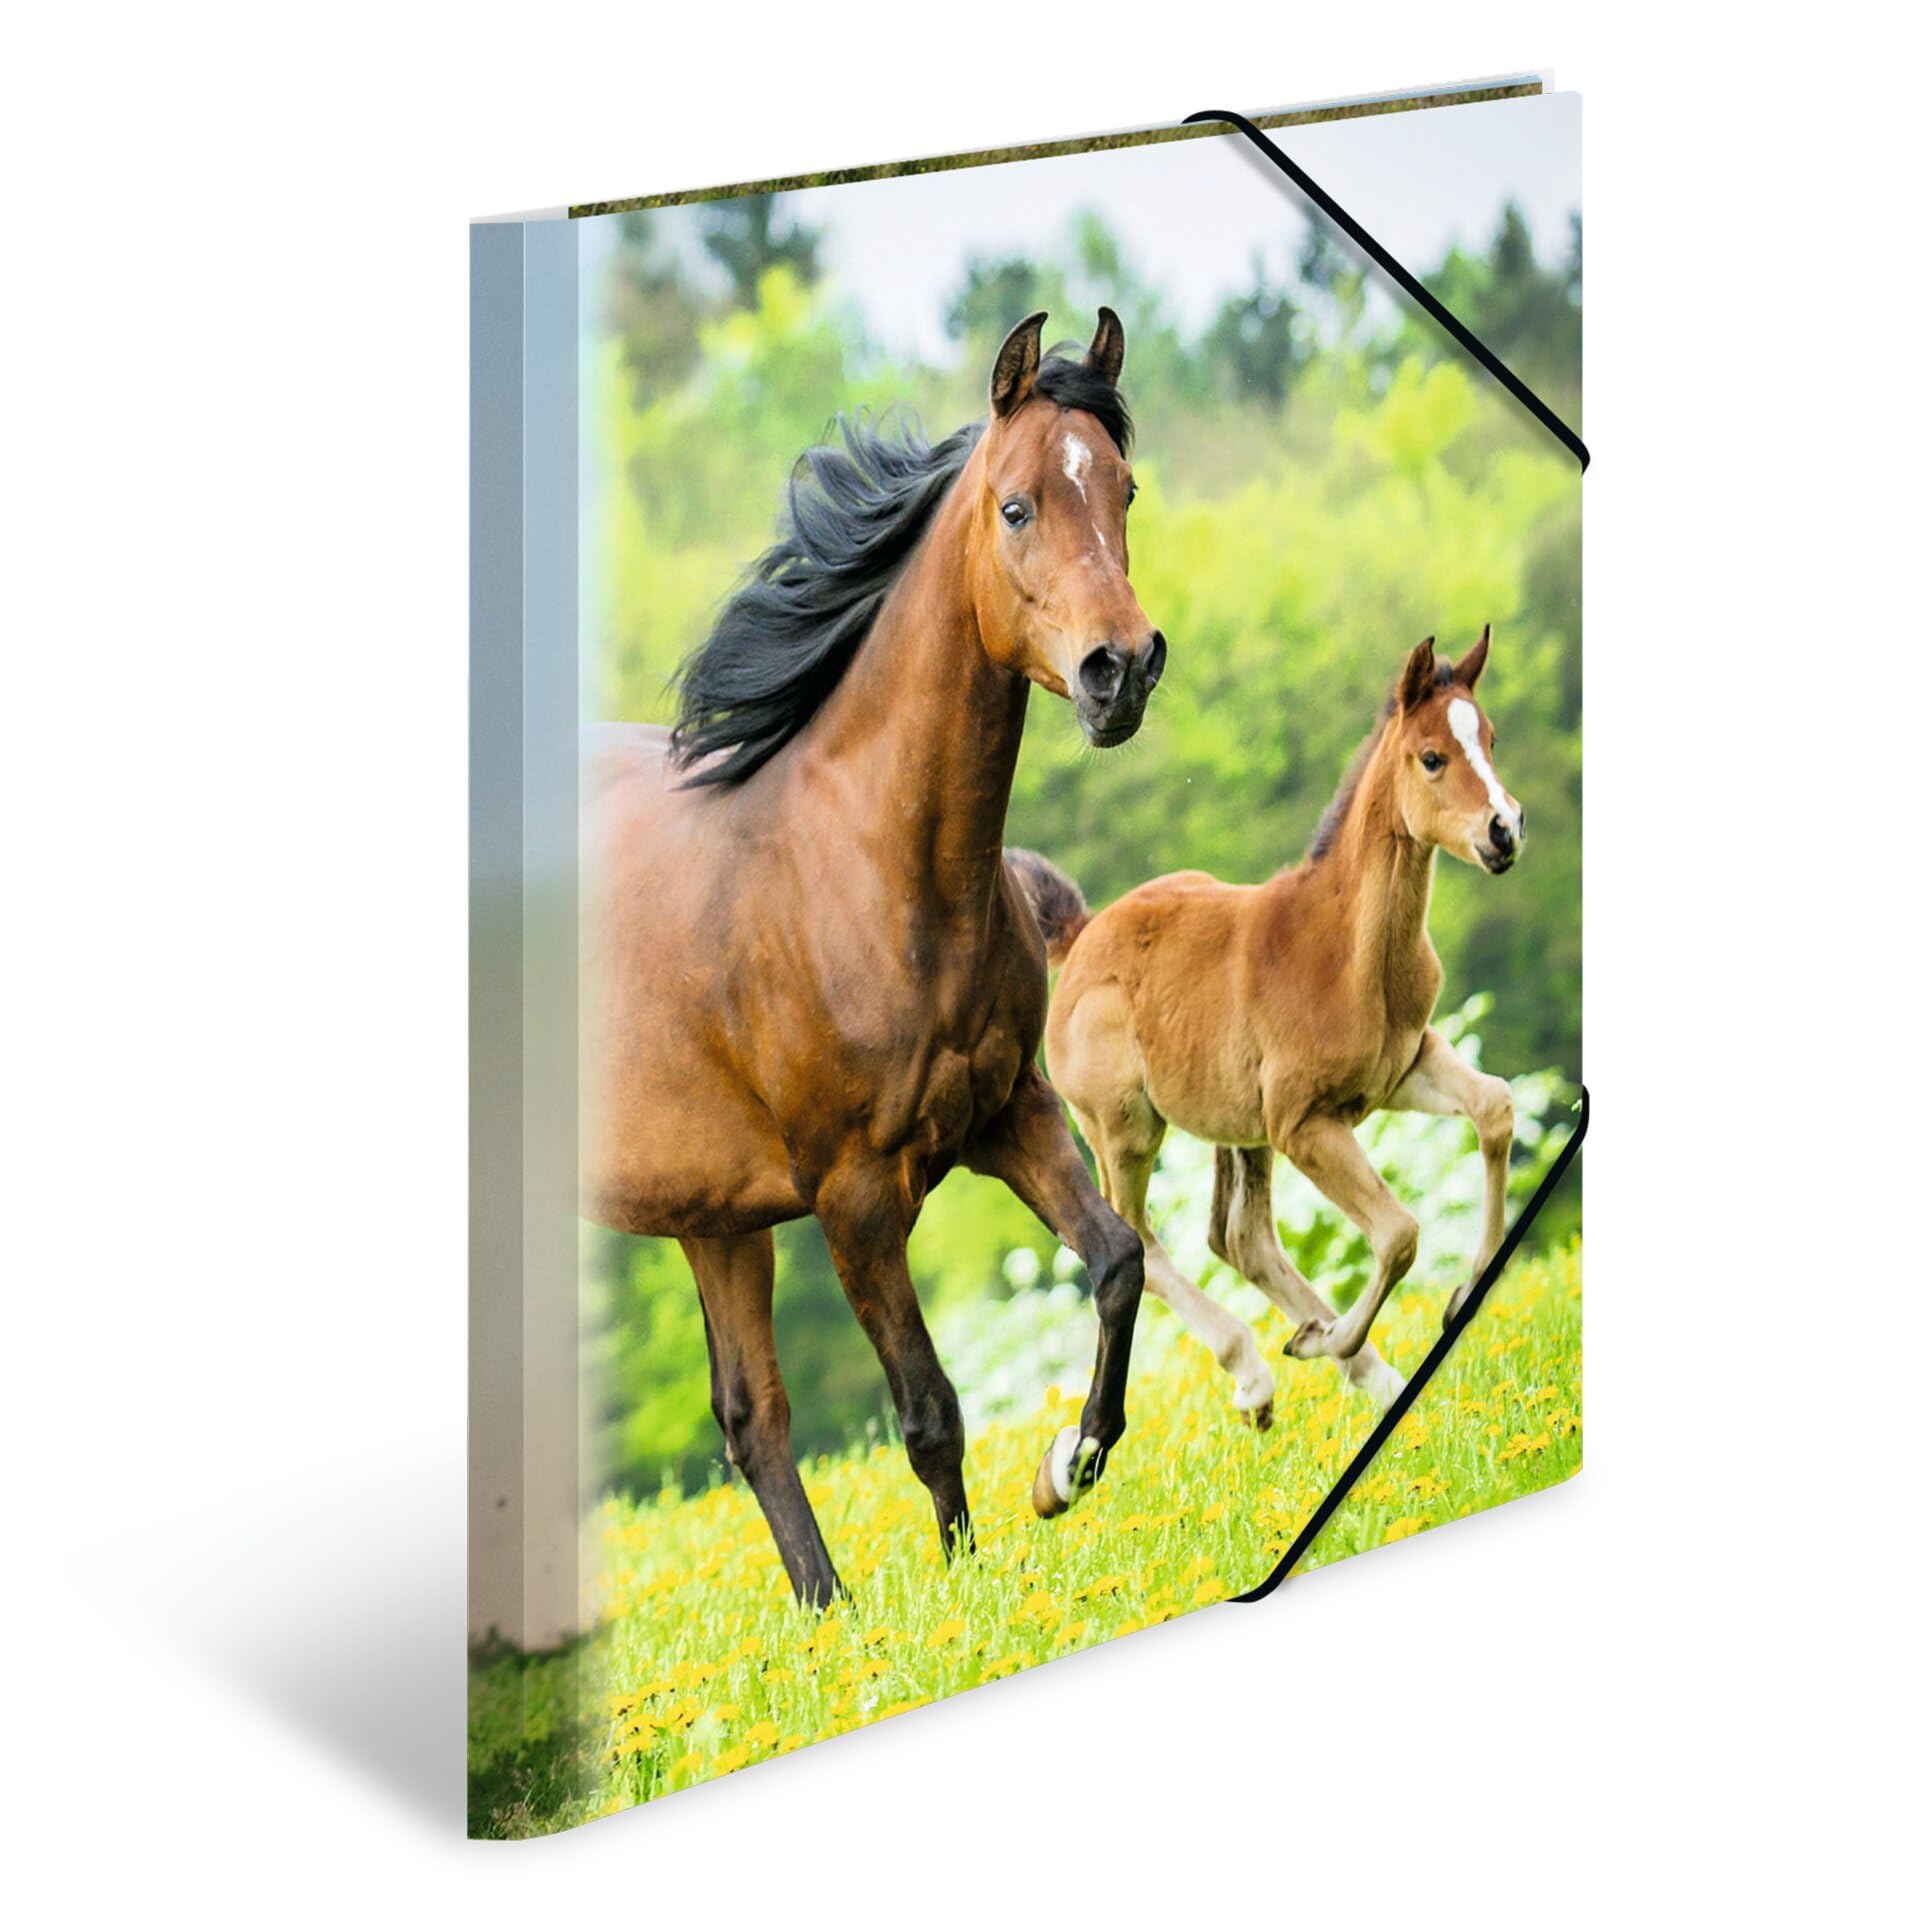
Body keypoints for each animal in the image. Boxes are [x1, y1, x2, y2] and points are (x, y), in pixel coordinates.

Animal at [582, 312, 1168, 1606]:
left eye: (1124, 489)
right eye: (1016, 507)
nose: (1122, 670)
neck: (865, 873)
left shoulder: (1008, 1111)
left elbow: (1116, 1261)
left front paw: (1069, 1464)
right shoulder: (854, 1199)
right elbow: (930, 1410)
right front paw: (963, 1593)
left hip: (712, 1216)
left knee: (751, 1417)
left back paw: (828, 1613)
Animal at [1026, 629, 1525, 1425]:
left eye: (1491, 738)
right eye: (1432, 757)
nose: (1504, 830)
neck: (1347, 949)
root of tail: (1077, 939)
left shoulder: (1405, 1066)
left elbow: (1496, 1108)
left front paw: (1459, 1294)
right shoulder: (1303, 1122)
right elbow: (1399, 1233)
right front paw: (1331, 1337)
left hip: (1237, 1125)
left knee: (1240, 1238)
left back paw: (1366, 1372)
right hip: (1125, 1130)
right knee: (1138, 1240)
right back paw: (1259, 1372)